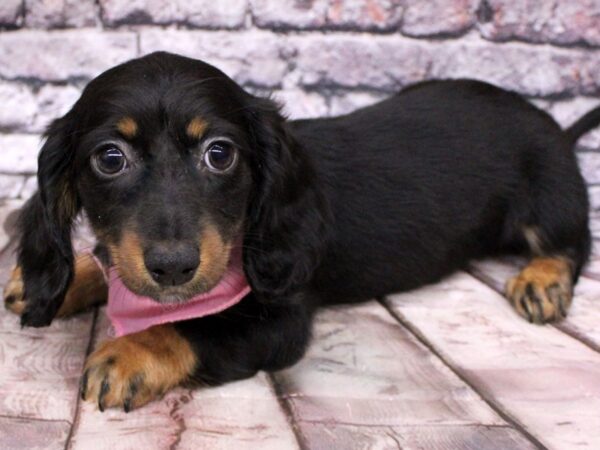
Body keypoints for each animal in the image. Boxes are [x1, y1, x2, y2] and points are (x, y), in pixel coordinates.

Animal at [2, 52, 596, 412]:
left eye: (220, 153)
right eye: (109, 158)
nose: (173, 267)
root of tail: (556, 129)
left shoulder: (279, 320)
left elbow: (192, 326)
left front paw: (129, 352)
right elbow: (109, 266)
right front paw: (54, 280)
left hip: (550, 198)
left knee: (572, 243)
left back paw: (541, 279)